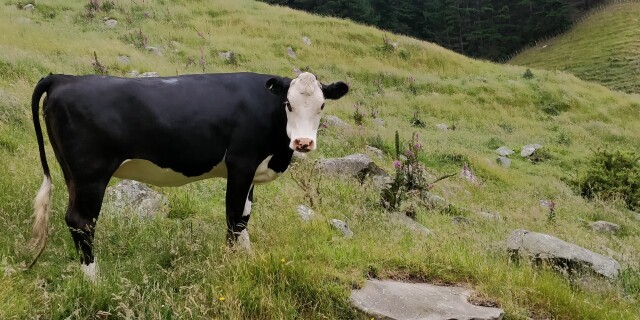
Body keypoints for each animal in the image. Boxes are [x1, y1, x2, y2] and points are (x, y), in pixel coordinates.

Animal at [28, 71, 350, 278]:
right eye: (289, 104)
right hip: (91, 174)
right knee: (81, 221)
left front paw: (247, 258)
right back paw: (94, 279)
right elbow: (234, 217)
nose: (303, 142)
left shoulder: (251, 171)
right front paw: (231, 265)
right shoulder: (241, 163)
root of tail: (64, 78)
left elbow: (244, 217)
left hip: (73, 174)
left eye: (322, 105)